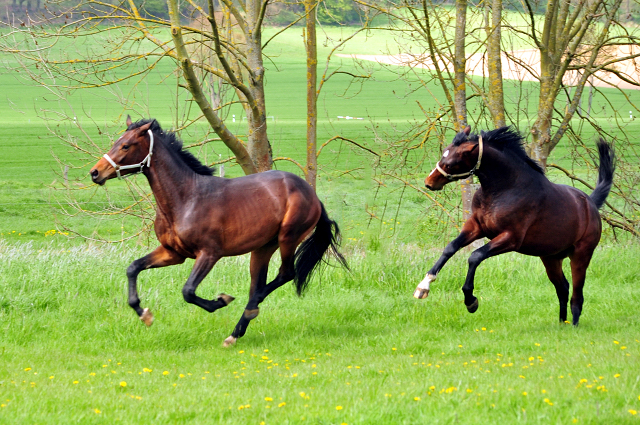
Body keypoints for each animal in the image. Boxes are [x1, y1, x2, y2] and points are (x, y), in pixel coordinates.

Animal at [89, 117, 348, 346]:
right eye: (116, 141)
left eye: (126, 145)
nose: (95, 173)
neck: (186, 198)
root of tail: (312, 195)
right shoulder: (173, 253)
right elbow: (133, 268)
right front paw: (144, 314)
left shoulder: (209, 253)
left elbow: (188, 291)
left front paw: (221, 300)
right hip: (262, 248)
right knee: (259, 284)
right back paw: (236, 332)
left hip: (287, 238)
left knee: (285, 274)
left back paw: (248, 311)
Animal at [416, 126, 616, 324]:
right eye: (444, 154)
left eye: (451, 163)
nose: (429, 182)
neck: (506, 189)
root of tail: (590, 203)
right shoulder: (476, 227)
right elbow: (451, 247)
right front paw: (423, 287)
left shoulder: (511, 238)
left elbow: (475, 256)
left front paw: (471, 301)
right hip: (550, 258)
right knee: (563, 288)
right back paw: (562, 323)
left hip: (581, 256)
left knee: (577, 296)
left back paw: (573, 324)